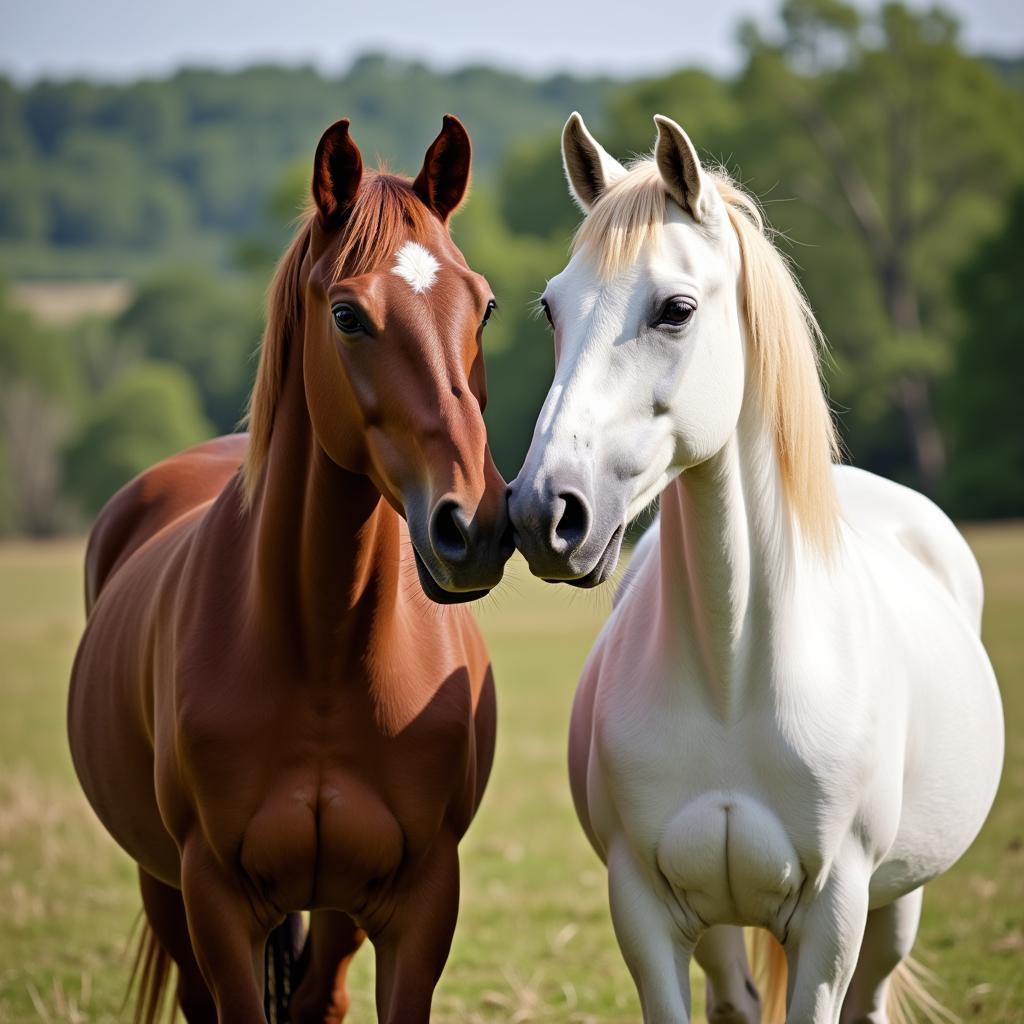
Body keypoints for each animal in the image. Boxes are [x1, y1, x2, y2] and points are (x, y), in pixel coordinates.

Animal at [66, 116, 509, 1024]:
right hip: (164, 887)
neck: (324, 652)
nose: (474, 527)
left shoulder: (420, 905)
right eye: (347, 315)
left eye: (483, 304)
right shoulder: (215, 900)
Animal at [507, 114, 1003, 1024]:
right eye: (553, 308)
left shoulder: (834, 917)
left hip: (895, 909)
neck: (733, 677)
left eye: (675, 310)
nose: (543, 513)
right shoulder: (646, 913)